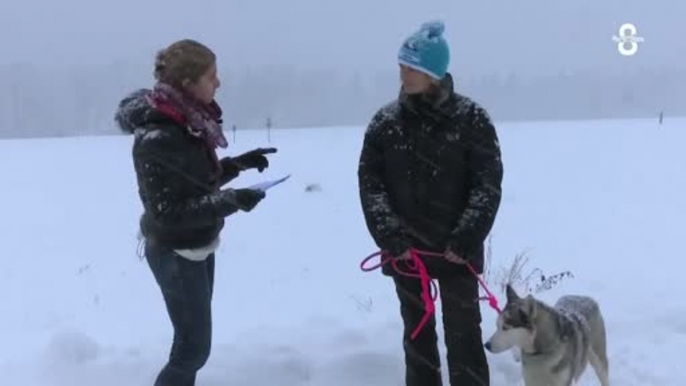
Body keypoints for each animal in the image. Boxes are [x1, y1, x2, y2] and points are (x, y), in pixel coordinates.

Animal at [484, 284, 612, 386]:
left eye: (505, 328)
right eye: (497, 325)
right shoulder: (531, 381)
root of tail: (583, 297)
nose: (486, 345)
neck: (541, 353)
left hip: (599, 361)